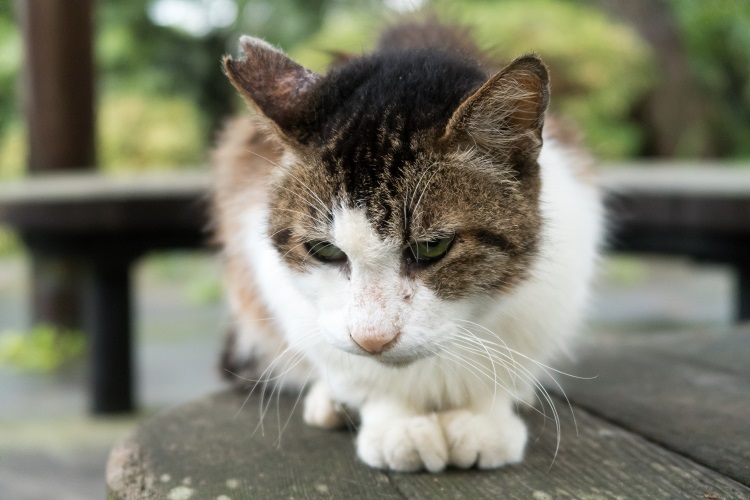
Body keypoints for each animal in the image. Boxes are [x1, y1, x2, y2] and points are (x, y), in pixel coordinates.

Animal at [213, 20, 604, 472]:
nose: (372, 339)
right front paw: (396, 423)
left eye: (434, 247)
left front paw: (482, 418)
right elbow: (359, 374)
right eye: (325, 251)